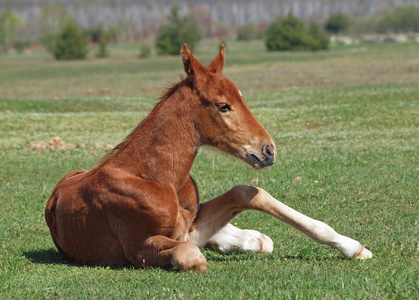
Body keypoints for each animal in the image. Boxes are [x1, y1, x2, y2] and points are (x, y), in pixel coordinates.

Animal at [46, 44, 372, 272]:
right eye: (223, 105)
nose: (268, 150)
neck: (156, 177)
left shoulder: (190, 225)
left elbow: (249, 192)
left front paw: (353, 247)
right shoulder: (139, 248)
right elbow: (191, 255)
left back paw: (252, 238)